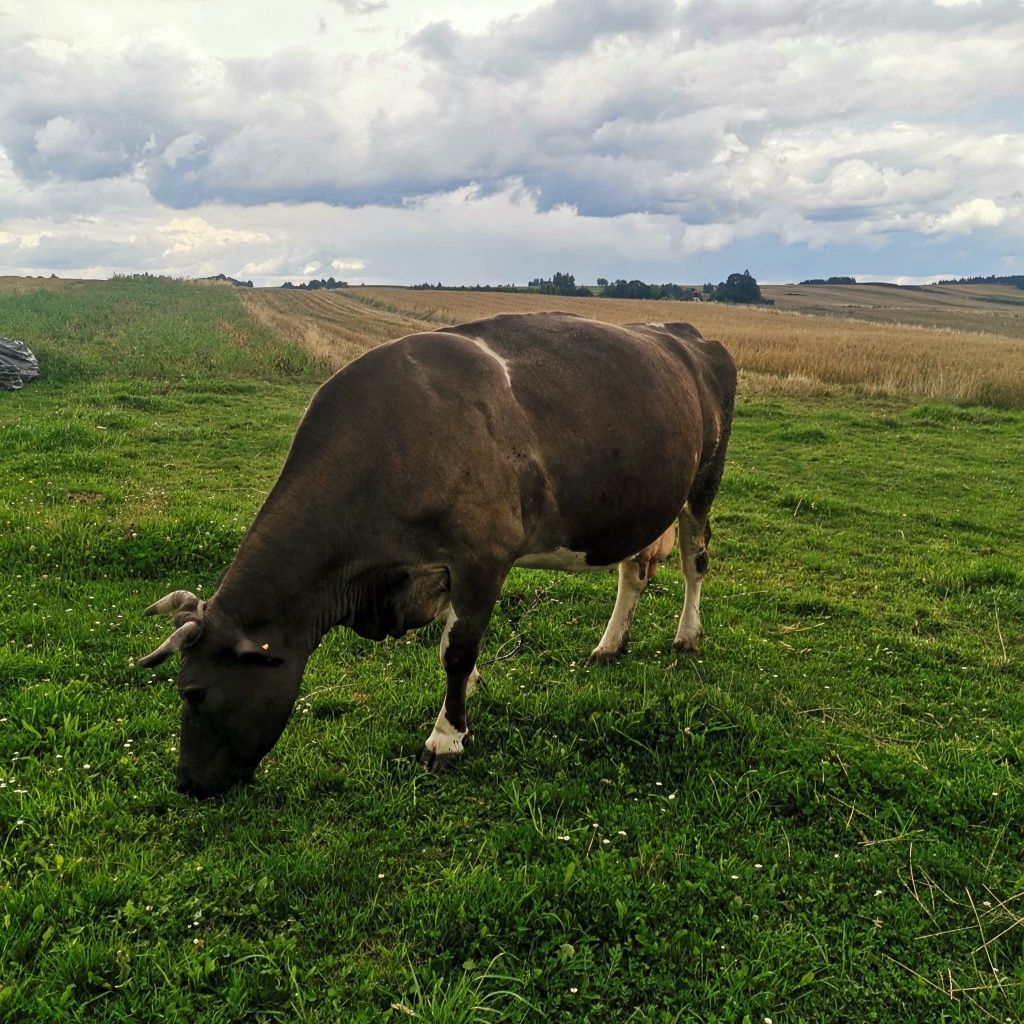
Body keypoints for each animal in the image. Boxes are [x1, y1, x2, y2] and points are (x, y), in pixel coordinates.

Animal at [138, 311, 737, 798]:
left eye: (194, 693)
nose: (186, 783)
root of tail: (682, 332)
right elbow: (453, 642)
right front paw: (466, 698)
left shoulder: (482, 558)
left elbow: (457, 650)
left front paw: (447, 736)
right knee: (633, 570)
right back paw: (609, 645)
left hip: (702, 484)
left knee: (695, 562)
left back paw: (688, 635)